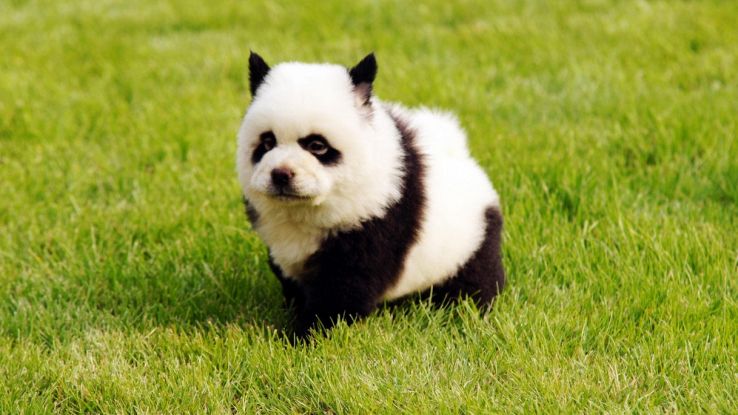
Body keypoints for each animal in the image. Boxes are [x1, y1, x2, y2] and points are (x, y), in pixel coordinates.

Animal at [236, 52, 505, 338]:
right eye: (267, 143)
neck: (305, 210)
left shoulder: (377, 215)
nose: (281, 174)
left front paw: (305, 334)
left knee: (476, 279)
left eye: (317, 145)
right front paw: (293, 314)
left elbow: (343, 287)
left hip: (470, 240)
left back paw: (467, 308)